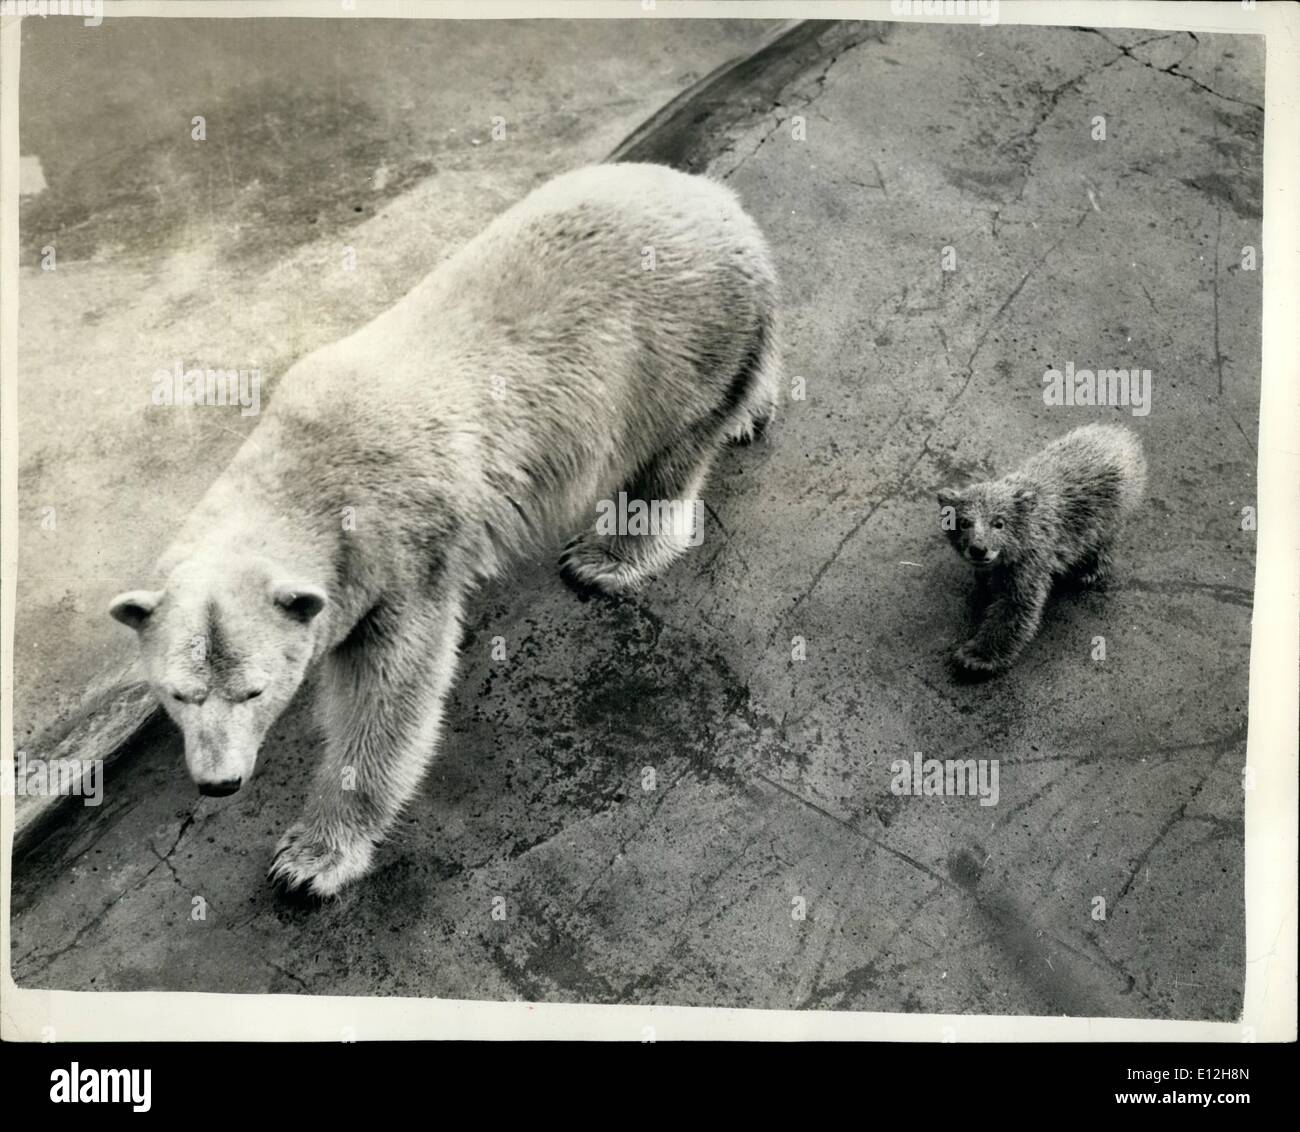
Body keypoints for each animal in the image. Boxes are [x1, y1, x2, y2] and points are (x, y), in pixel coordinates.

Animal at [109, 162, 780, 896]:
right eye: (178, 693)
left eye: (253, 690)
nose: (218, 784)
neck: (305, 466)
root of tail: (724, 204)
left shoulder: (403, 557)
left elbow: (392, 695)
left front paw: (311, 859)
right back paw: (755, 411)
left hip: (675, 346)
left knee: (670, 455)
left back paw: (608, 554)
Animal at [936, 422, 1147, 677]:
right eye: (965, 522)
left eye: (999, 523)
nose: (979, 549)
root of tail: (1121, 435)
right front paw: (984, 581)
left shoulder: (1031, 560)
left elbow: (1016, 607)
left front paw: (976, 656)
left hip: (1111, 507)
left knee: (1104, 538)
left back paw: (1088, 570)